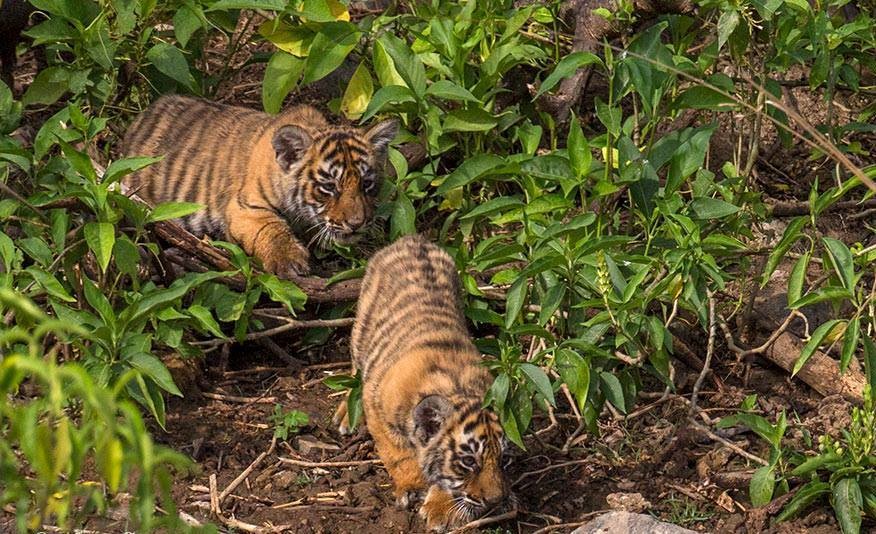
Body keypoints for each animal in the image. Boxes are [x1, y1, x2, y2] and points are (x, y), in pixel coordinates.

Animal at [120, 95, 398, 277]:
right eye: (328, 187)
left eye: (367, 184)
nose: (357, 224)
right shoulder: (247, 207)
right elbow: (271, 229)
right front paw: (289, 261)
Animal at [333, 234, 512, 532]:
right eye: (468, 462)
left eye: (503, 459)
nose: (496, 501)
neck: (457, 386)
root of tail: (413, 239)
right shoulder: (378, 409)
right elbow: (399, 455)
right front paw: (413, 486)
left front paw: (441, 508)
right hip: (361, 333)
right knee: (356, 369)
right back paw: (347, 415)